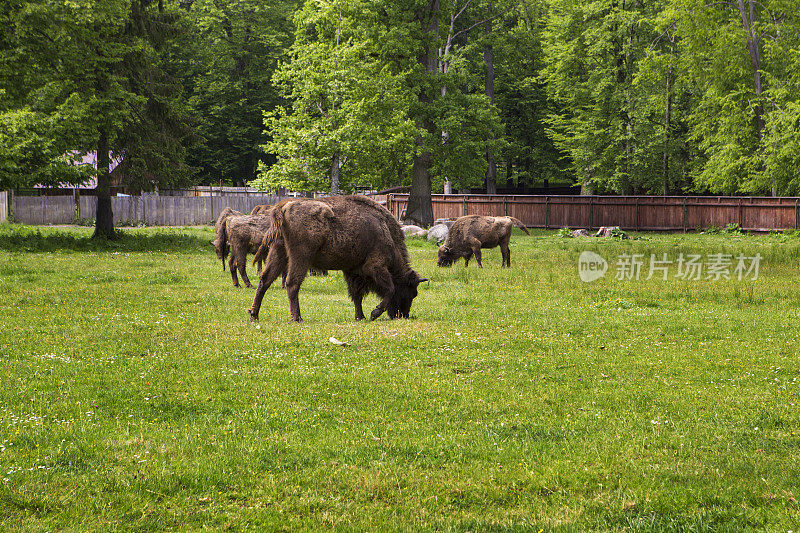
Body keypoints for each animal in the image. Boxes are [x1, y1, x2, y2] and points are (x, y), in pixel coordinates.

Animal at [250, 194, 428, 322]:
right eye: (411, 292)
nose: (402, 315)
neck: (384, 229)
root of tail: (284, 206)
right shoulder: (375, 266)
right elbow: (389, 288)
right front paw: (374, 313)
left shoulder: (353, 270)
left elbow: (356, 295)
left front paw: (360, 317)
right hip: (300, 256)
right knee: (292, 283)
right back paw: (297, 318)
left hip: (278, 252)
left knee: (265, 280)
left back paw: (254, 315)